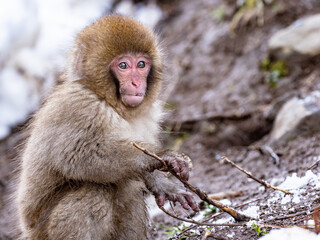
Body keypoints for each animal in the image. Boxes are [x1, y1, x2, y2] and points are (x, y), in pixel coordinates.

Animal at [17, 14, 199, 239]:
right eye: (123, 65)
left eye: (141, 64)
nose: (137, 83)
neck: (109, 102)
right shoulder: (80, 108)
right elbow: (78, 156)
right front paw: (161, 156)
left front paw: (164, 184)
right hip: (43, 232)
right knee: (93, 192)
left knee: (129, 196)